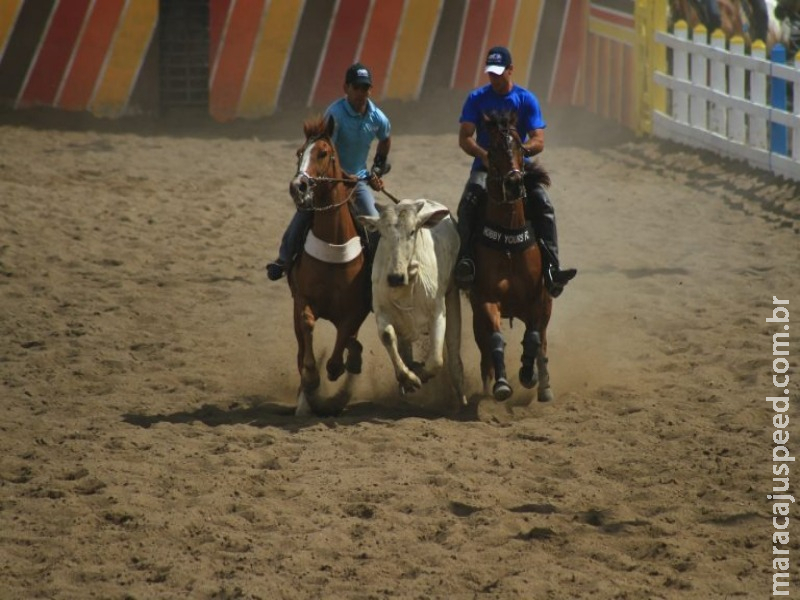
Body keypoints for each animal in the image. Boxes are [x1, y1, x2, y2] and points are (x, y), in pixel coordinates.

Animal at [288, 116, 372, 418]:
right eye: (299, 152)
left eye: (323, 153)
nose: (298, 186)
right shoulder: (302, 298)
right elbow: (307, 324)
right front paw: (311, 379)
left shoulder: (354, 309)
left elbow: (341, 350)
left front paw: (342, 364)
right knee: (300, 347)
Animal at [358, 199, 466, 406]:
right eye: (382, 233)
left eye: (412, 231)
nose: (395, 278)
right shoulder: (382, 310)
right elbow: (388, 336)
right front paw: (408, 379)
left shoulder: (438, 312)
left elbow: (436, 360)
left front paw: (419, 375)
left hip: (452, 294)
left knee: (454, 353)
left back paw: (462, 399)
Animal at [472, 111, 552, 404]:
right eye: (494, 148)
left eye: (520, 146)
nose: (515, 183)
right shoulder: (486, 300)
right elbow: (495, 340)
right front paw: (502, 384)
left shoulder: (538, 299)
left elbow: (533, 338)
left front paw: (529, 375)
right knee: (484, 351)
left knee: (542, 341)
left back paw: (544, 386)